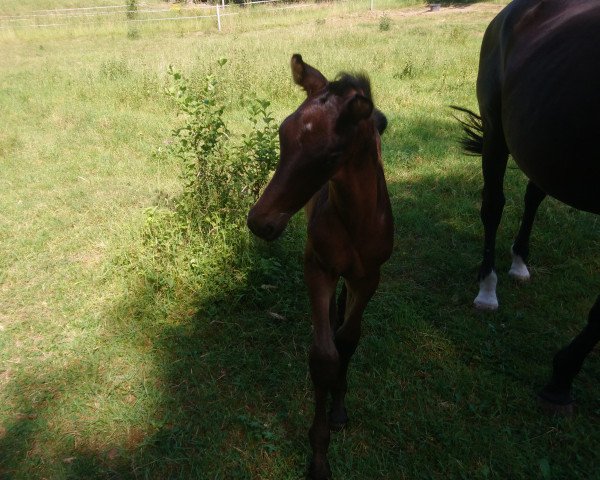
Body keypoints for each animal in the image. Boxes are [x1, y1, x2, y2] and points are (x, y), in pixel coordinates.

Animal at [247, 54, 394, 478]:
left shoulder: (370, 277)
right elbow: (324, 356)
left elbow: (348, 341)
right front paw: (318, 456)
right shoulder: (317, 268)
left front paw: (339, 409)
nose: (260, 222)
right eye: (282, 134)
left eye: (330, 156)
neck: (355, 220)